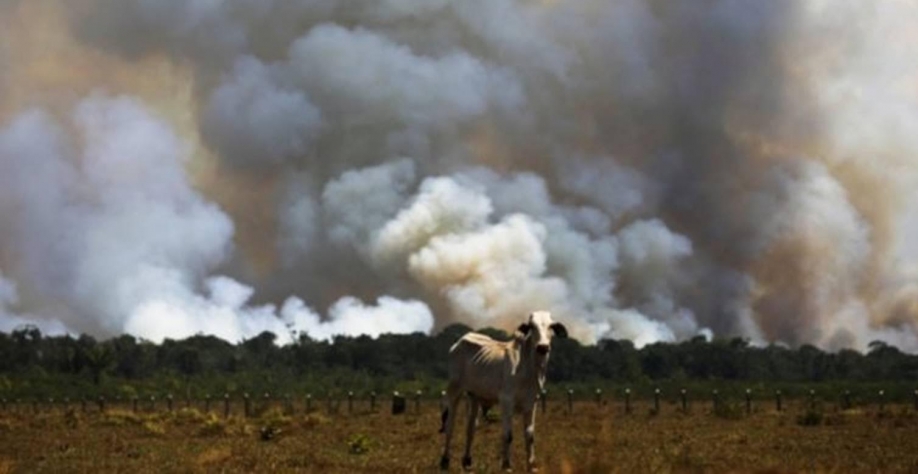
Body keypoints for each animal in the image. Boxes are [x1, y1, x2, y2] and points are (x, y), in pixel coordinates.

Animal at [440, 312, 568, 470]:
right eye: (532, 326)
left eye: (551, 326)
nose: (542, 347)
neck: (529, 368)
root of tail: (459, 342)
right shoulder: (506, 401)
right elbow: (508, 435)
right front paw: (506, 465)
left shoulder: (532, 402)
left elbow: (530, 436)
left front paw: (531, 465)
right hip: (455, 390)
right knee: (450, 425)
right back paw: (445, 460)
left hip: (474, 396)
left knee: (471, 428)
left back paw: (467, 461)